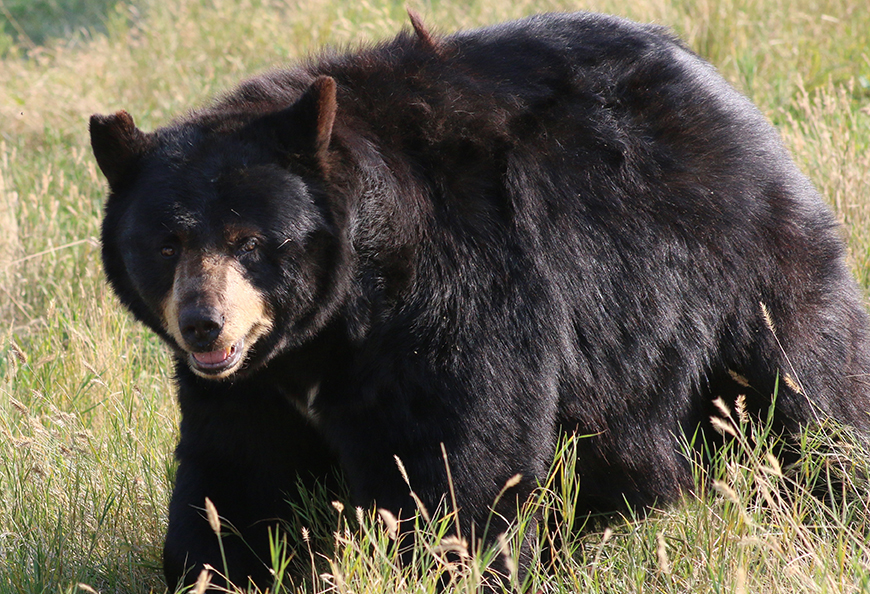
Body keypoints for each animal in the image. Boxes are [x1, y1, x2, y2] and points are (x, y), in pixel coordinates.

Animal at [90, 10, 870, 592]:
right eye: (166, 243)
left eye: (250, 240)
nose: (203, 325)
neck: (337, 322)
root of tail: (723, 91)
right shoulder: (251, 384)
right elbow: (236, 477)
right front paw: (215, 569)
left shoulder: (459, 292)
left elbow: (457, 456)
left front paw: (446, 561)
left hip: (732, 270)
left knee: (810, 391)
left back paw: (841, 500)